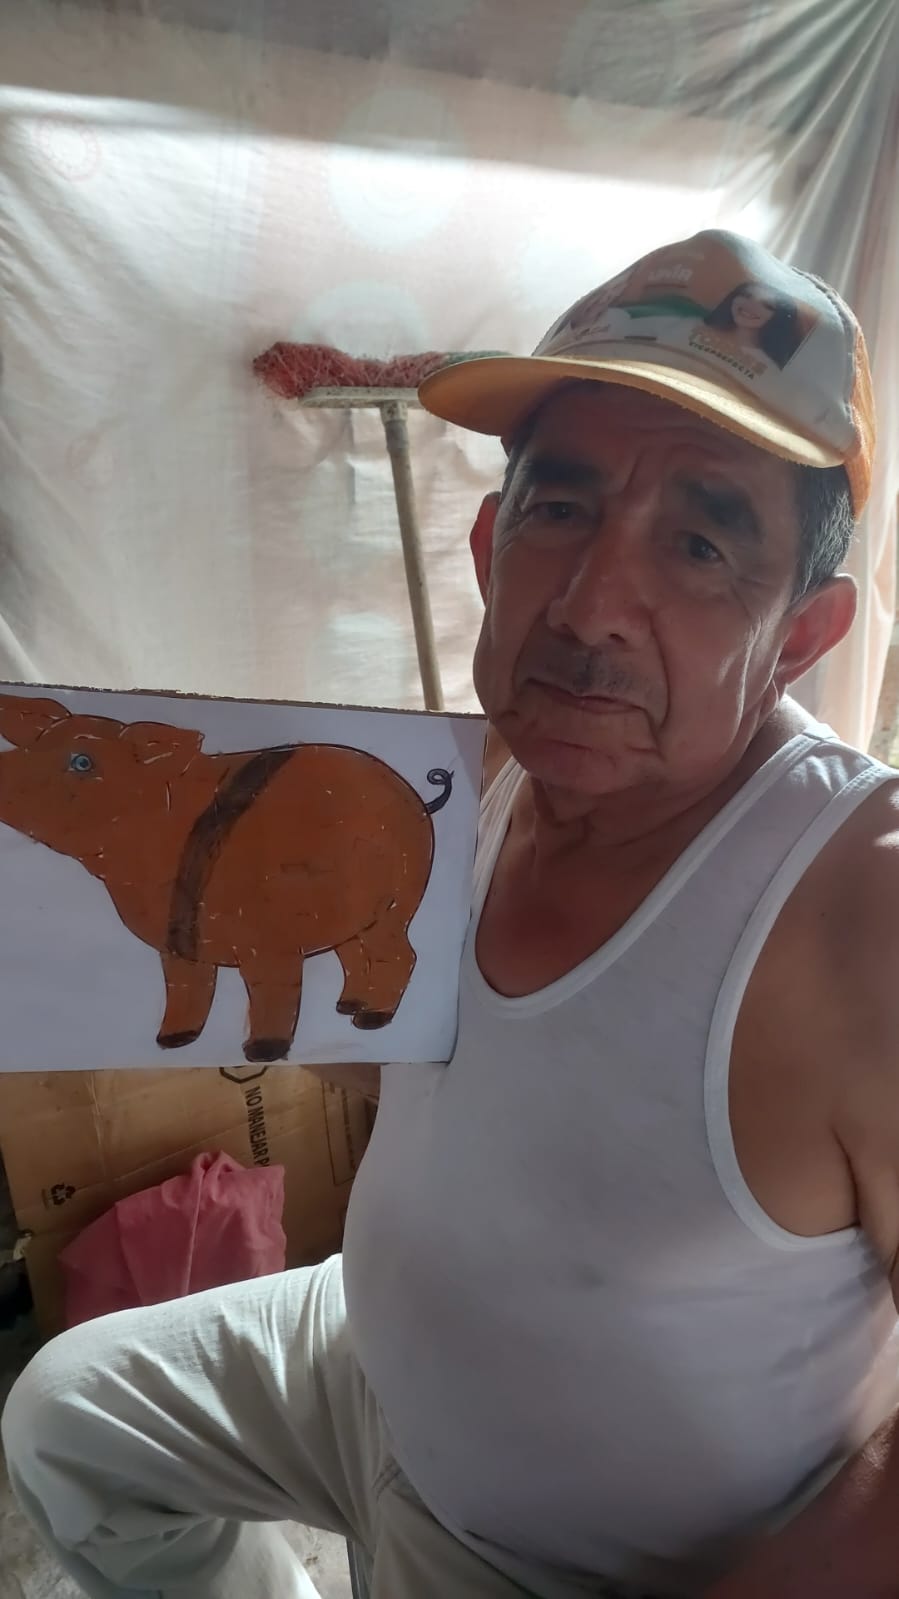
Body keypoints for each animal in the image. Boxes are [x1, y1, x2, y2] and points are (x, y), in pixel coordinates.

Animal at [0, 694, 453, 1062]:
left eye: (82, 761)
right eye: (34, 744)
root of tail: (419, 801)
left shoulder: (271, 944)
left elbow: (272, 991)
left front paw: (261, 1054)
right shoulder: (178, 945)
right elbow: (186, 988)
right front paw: (171, 1042)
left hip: (396, 906)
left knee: (402, 955)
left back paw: (371, 1020)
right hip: (351, 916)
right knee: (354, 955)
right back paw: (347, 1007)